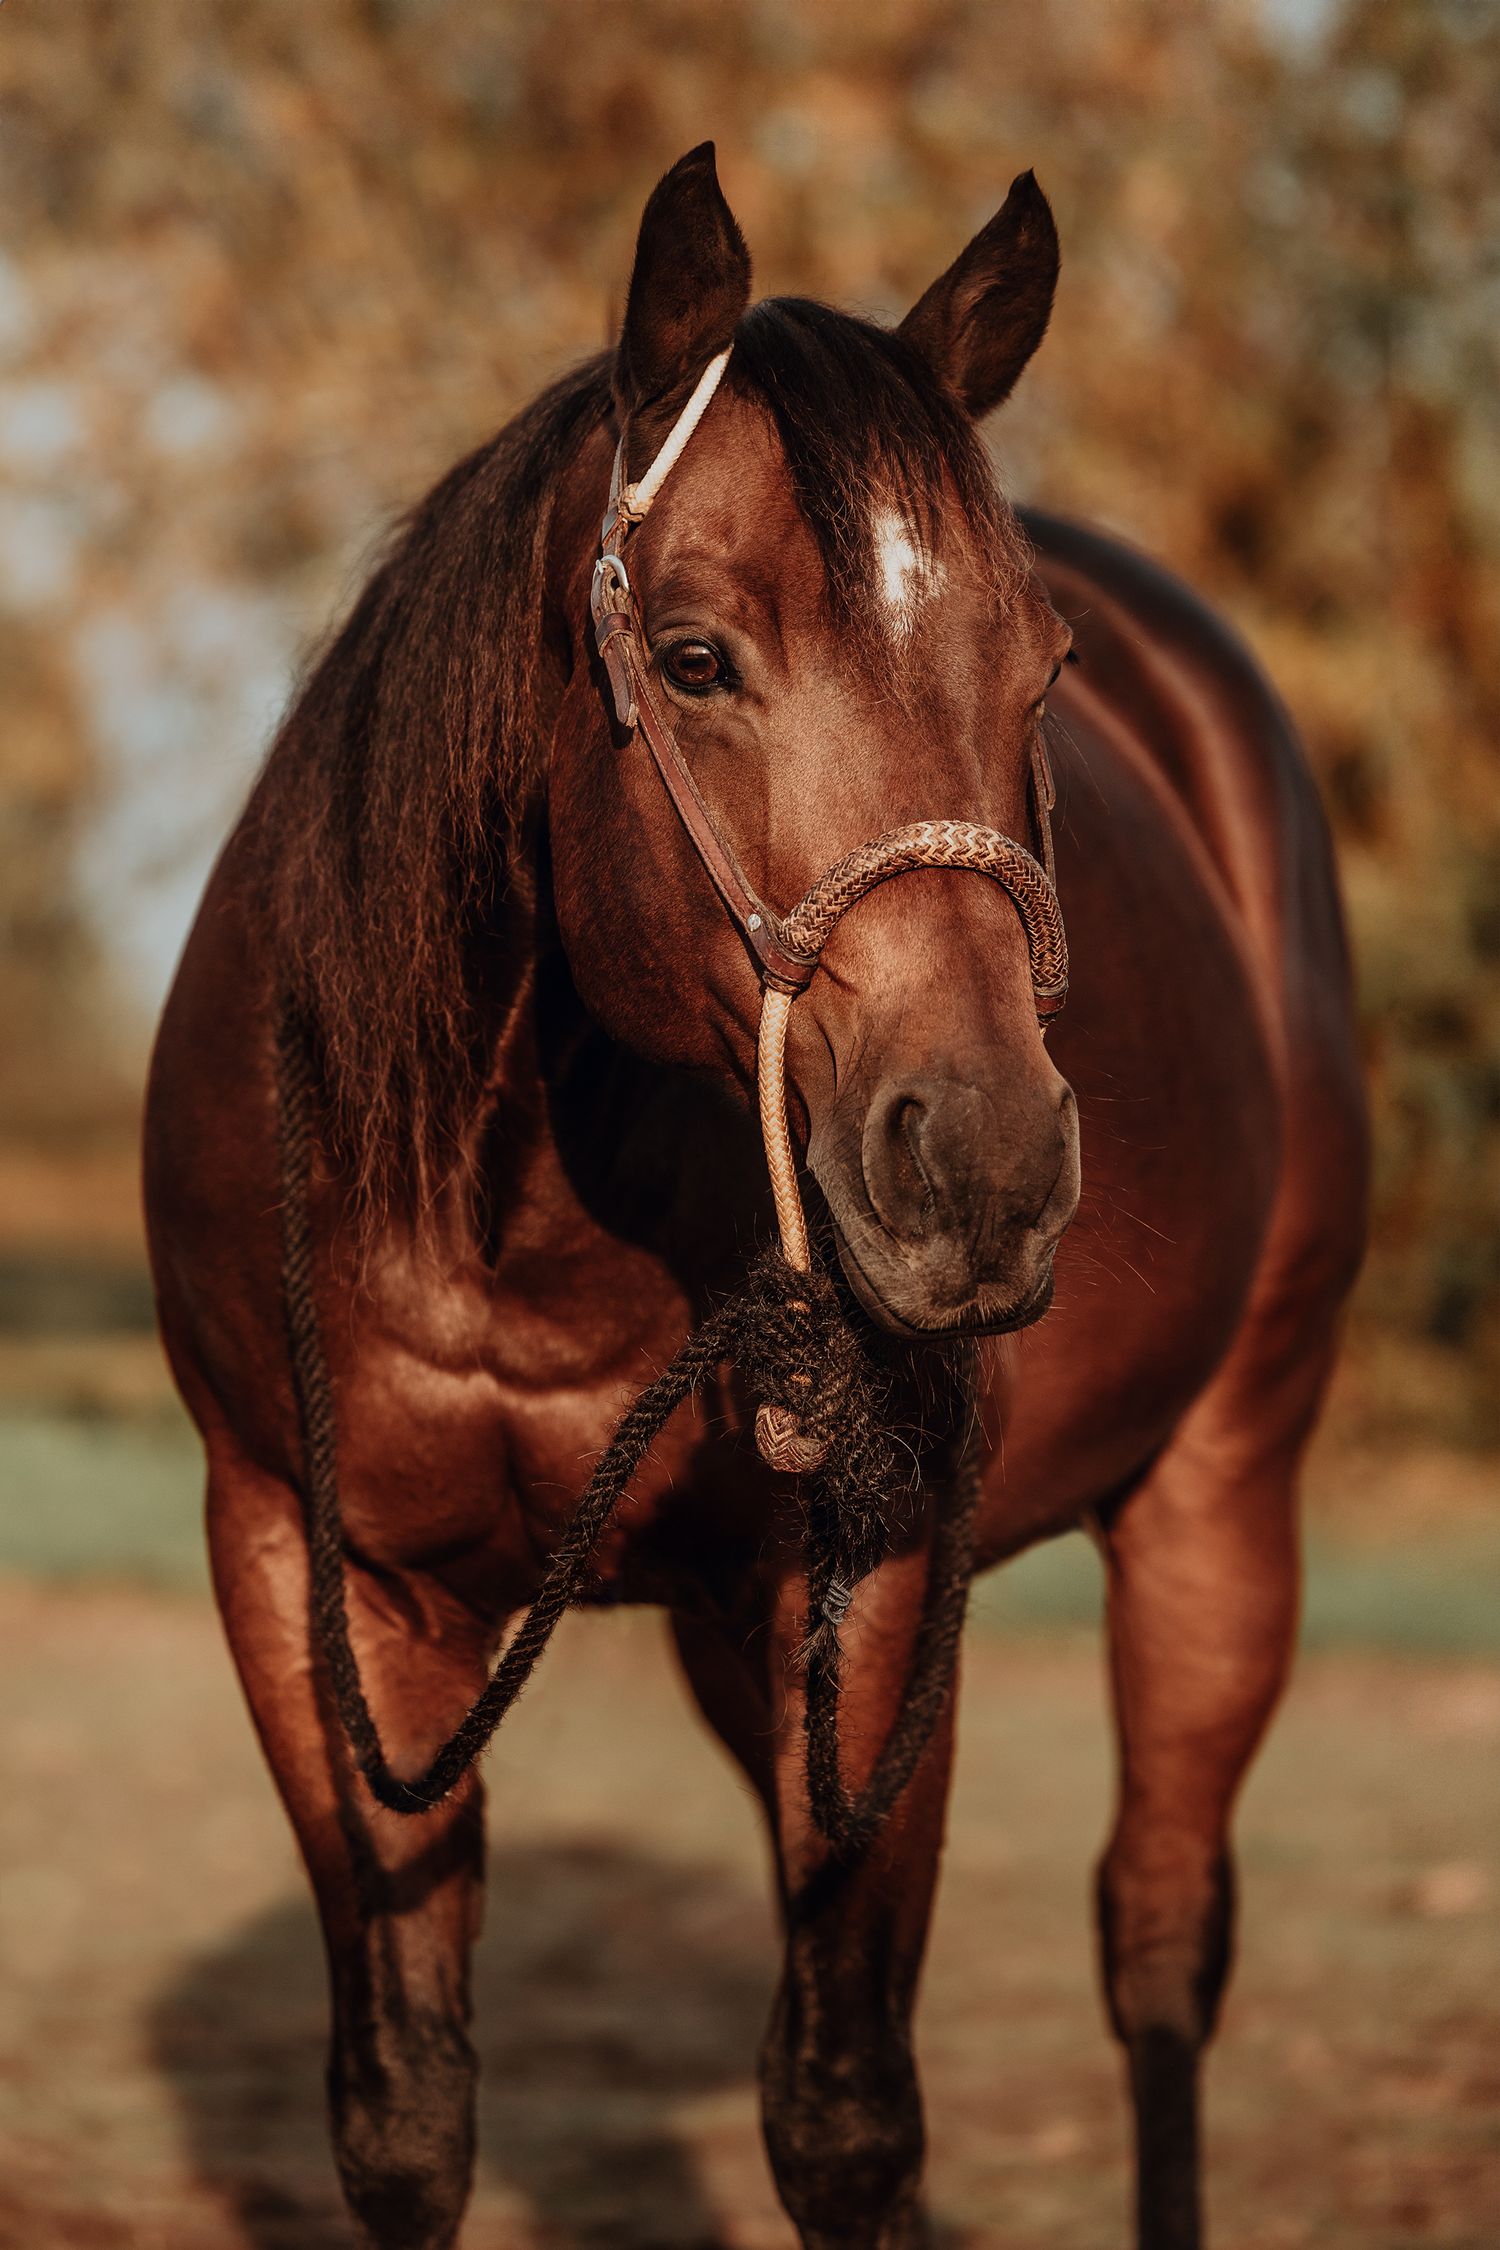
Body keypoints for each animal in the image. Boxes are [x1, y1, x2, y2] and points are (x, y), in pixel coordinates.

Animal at [144, 144, 1367, 2250]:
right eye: (697, 658)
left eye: (1043, 674)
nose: (984, 1169)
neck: (509, 1213)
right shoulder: (314, 1578)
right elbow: (404, 2116)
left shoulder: (866, 1581)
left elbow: (845, 2115)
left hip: (1223, 1494)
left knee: (1158, 1944)